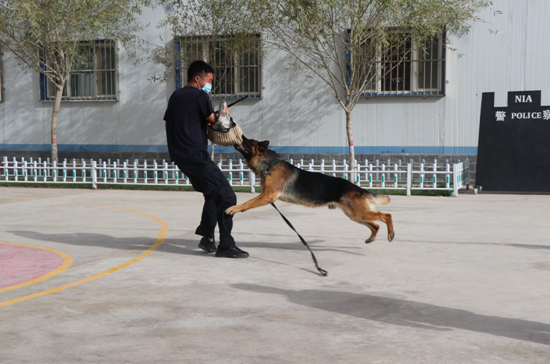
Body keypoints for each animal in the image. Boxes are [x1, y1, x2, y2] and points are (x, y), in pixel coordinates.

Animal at [225, 136, 396, 245]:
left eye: (249, 141)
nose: (238, 132)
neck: (270, 164)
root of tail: (357, 188)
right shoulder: (265, 196)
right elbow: (249, 202)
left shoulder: (267, 196)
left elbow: (247, 202)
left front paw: (234, 208)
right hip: (354, 215)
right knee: (376, 225)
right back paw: (371, 239)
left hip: (359, 213)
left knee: (387, 216)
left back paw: (391, 234)